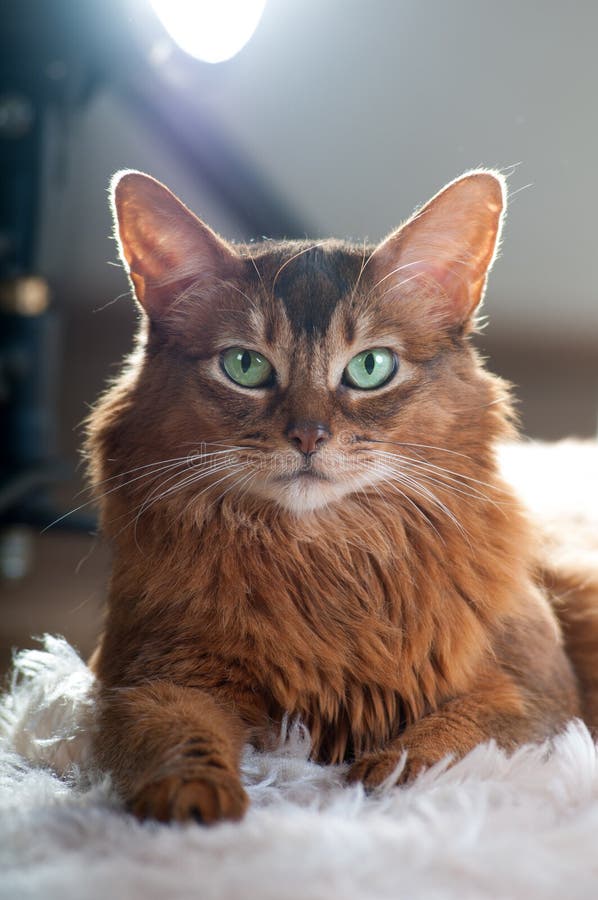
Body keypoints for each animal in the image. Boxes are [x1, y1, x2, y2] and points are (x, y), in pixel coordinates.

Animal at [85, 167, 596, 824]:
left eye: (371, 366)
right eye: (244, 365)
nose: (308, 435)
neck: (329, 555)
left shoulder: (541, 691)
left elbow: (461, 730)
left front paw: (394, 770)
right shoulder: (144, 677)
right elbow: (174, 732)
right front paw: (192, 799)